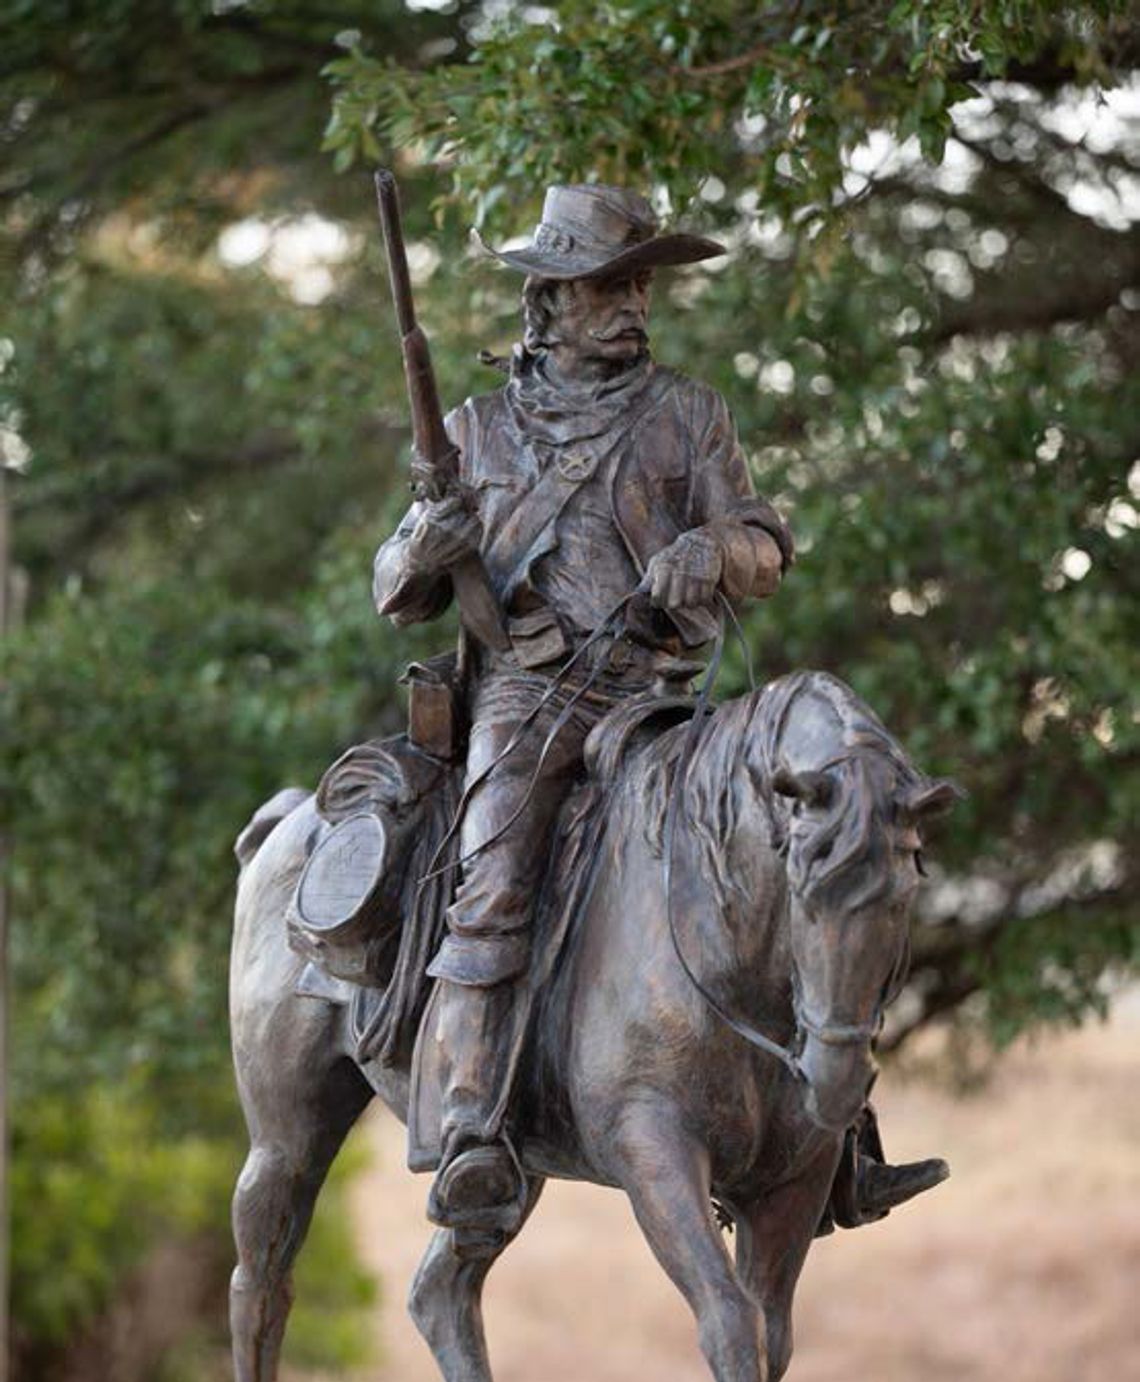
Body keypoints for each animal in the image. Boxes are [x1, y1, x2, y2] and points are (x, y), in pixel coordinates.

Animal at [226, 668, 956, 1382]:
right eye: (801, 885)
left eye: (905, 893)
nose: (834, 1084)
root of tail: (289, 820)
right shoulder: (653, 1150)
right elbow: (730, 1322)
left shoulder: (792, 1183)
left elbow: (769, 1335)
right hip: (286, 1140)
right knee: (261, 1280)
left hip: (510, 1175)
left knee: (440, 1291)